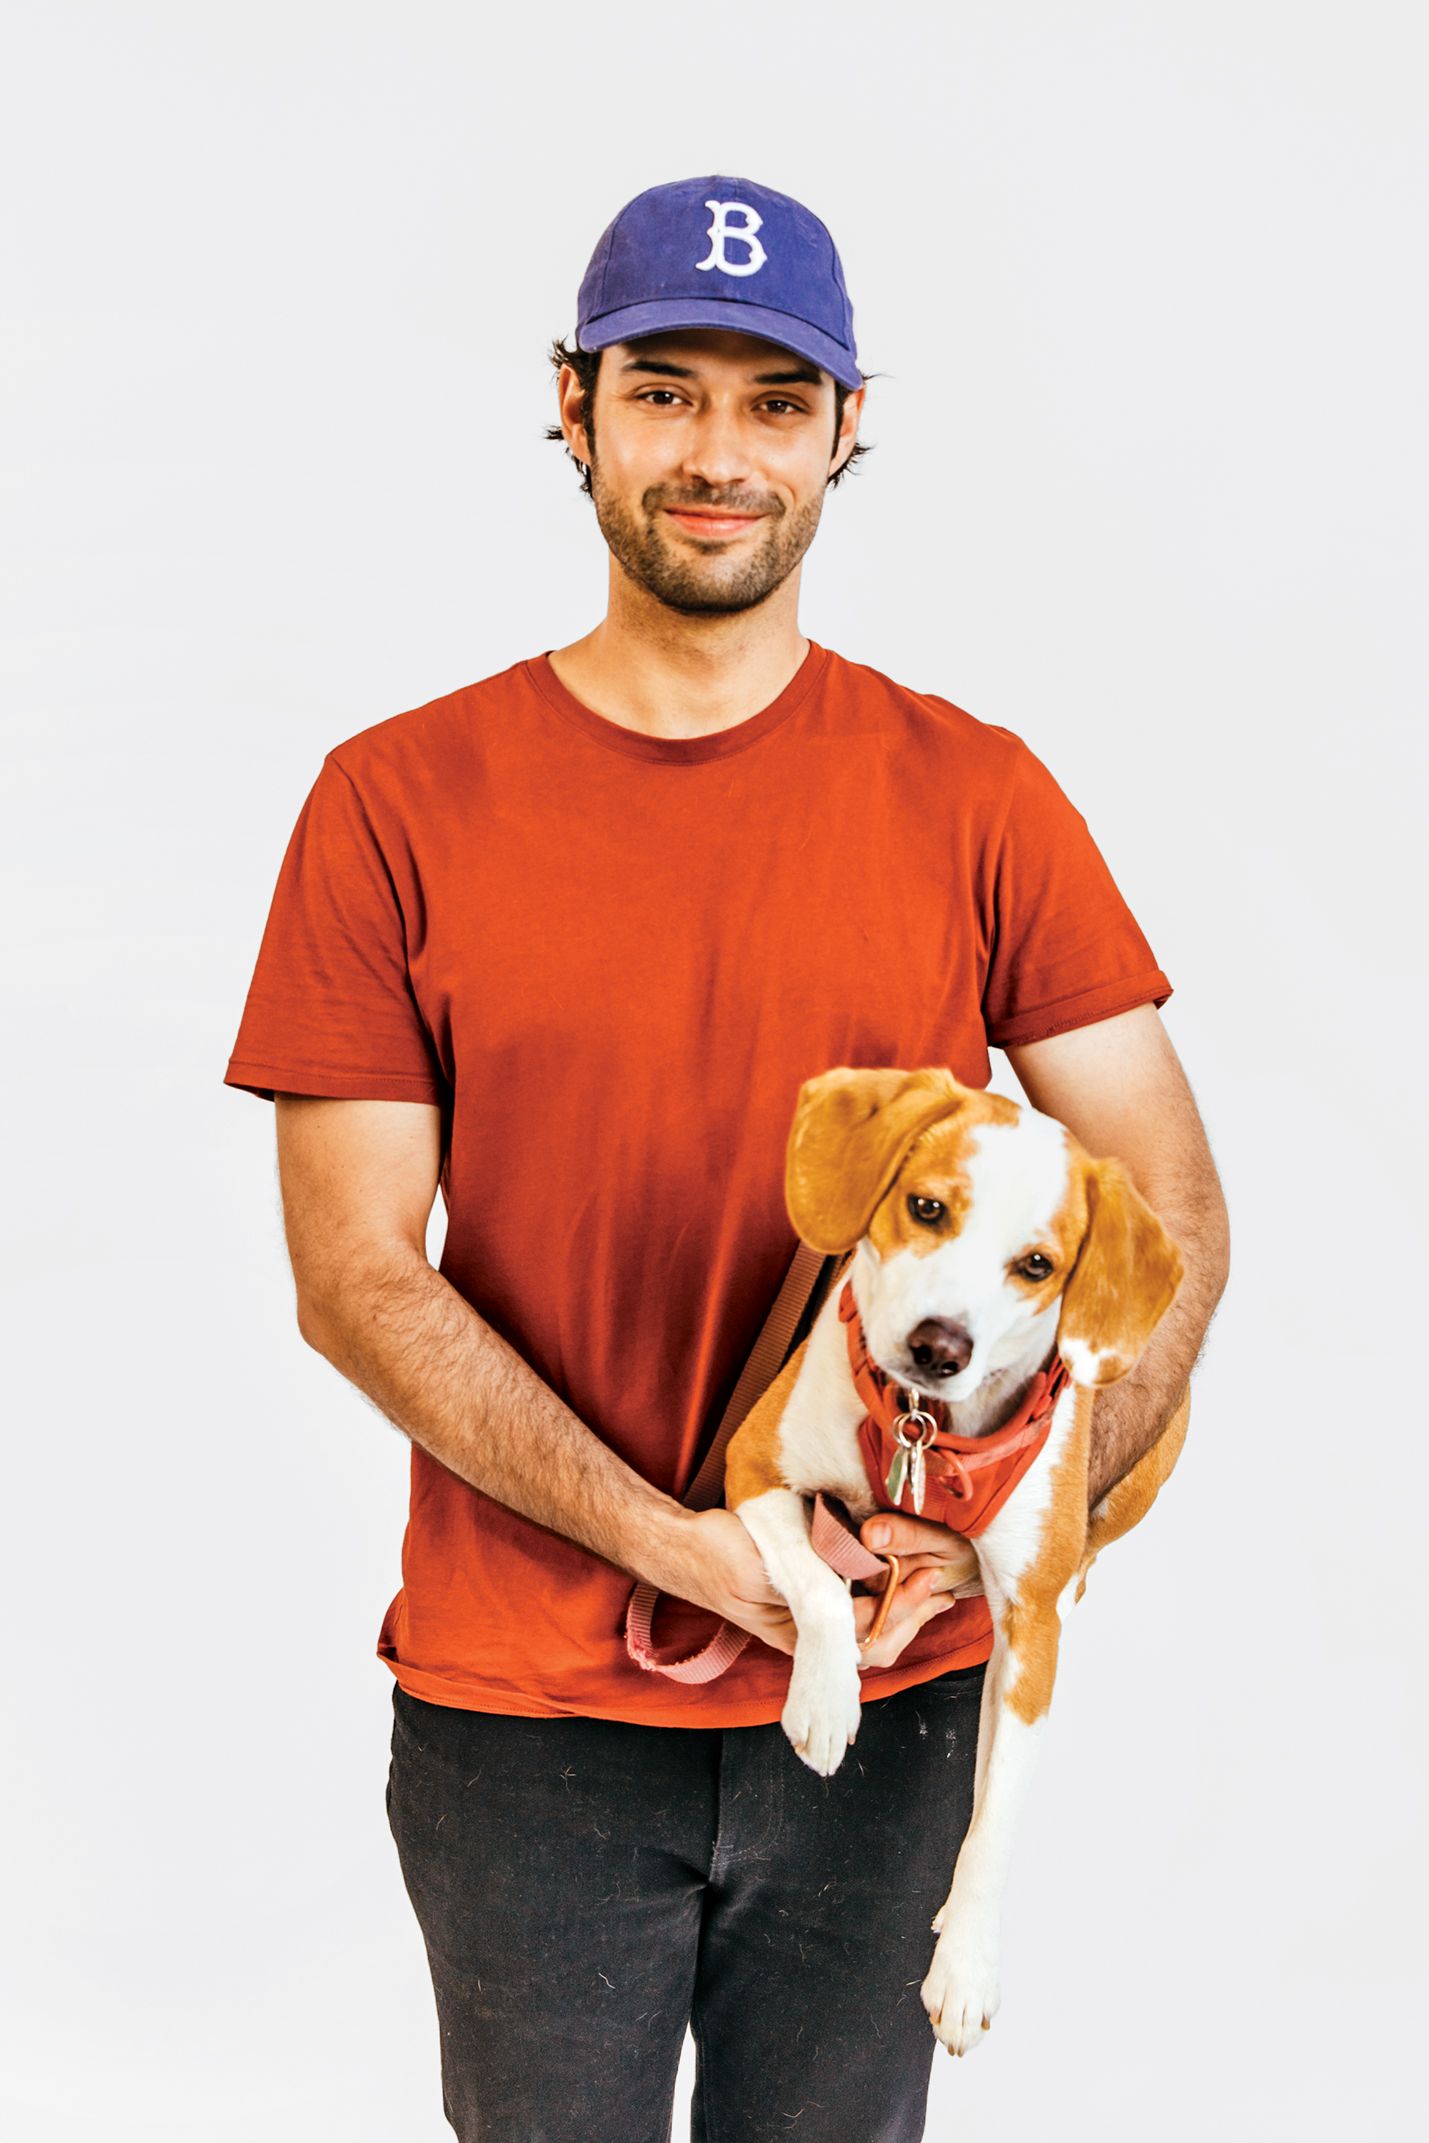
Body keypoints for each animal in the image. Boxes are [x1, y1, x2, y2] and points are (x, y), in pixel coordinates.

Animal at [719, 1067, 1191, 2057]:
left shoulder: (1031, 1633)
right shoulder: (753, 1469)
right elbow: (818, 1584)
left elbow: (995, 1818)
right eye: (927, 1207)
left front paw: (966, 1961)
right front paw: (826, 1701)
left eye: (1036, 1266)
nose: (941, 1346)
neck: (922, 1432)